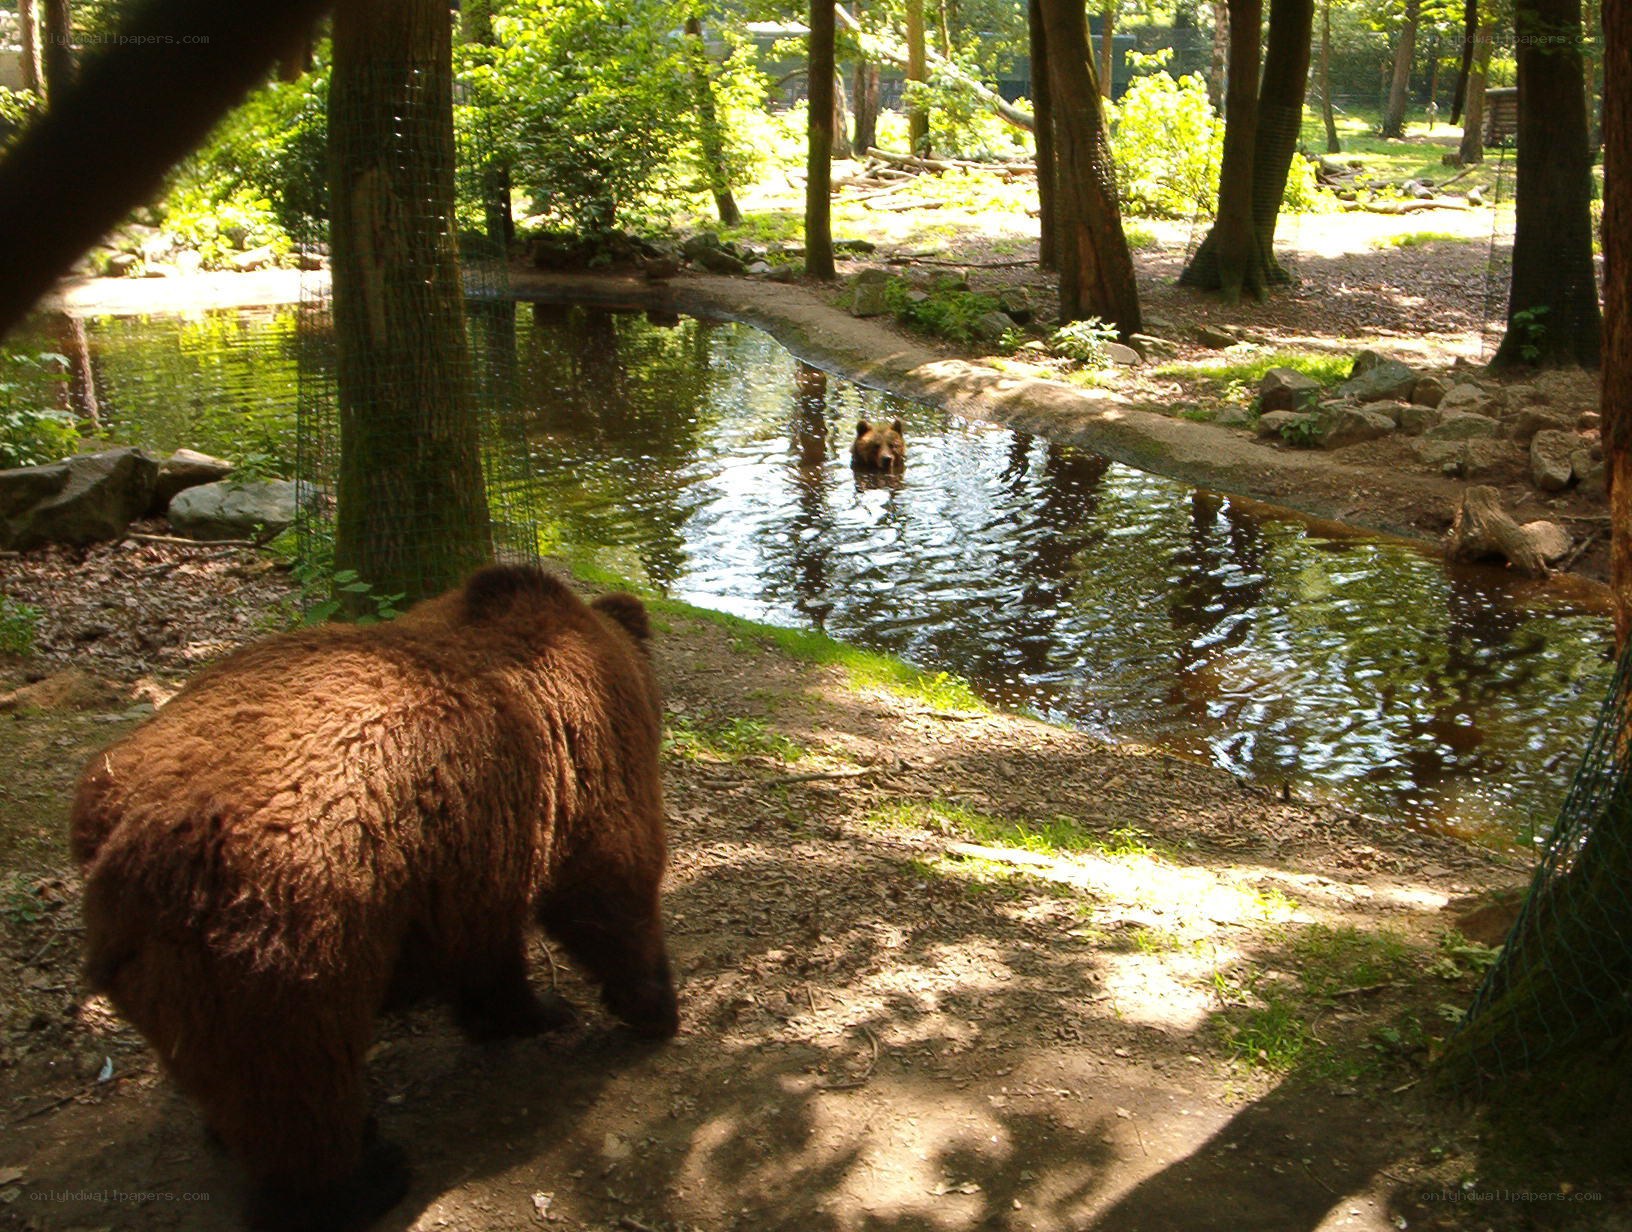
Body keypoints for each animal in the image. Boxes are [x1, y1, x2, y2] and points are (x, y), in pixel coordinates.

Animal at [69, 565, 678, 1232]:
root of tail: (126, 833)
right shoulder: (581, 771)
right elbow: (612, 889)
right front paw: (650, 1004)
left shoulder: (472, 856)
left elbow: (489, 954)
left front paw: (529, 1011)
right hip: (290, 935)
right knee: (297, 1087)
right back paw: (364, 1177)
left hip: (173, 966)